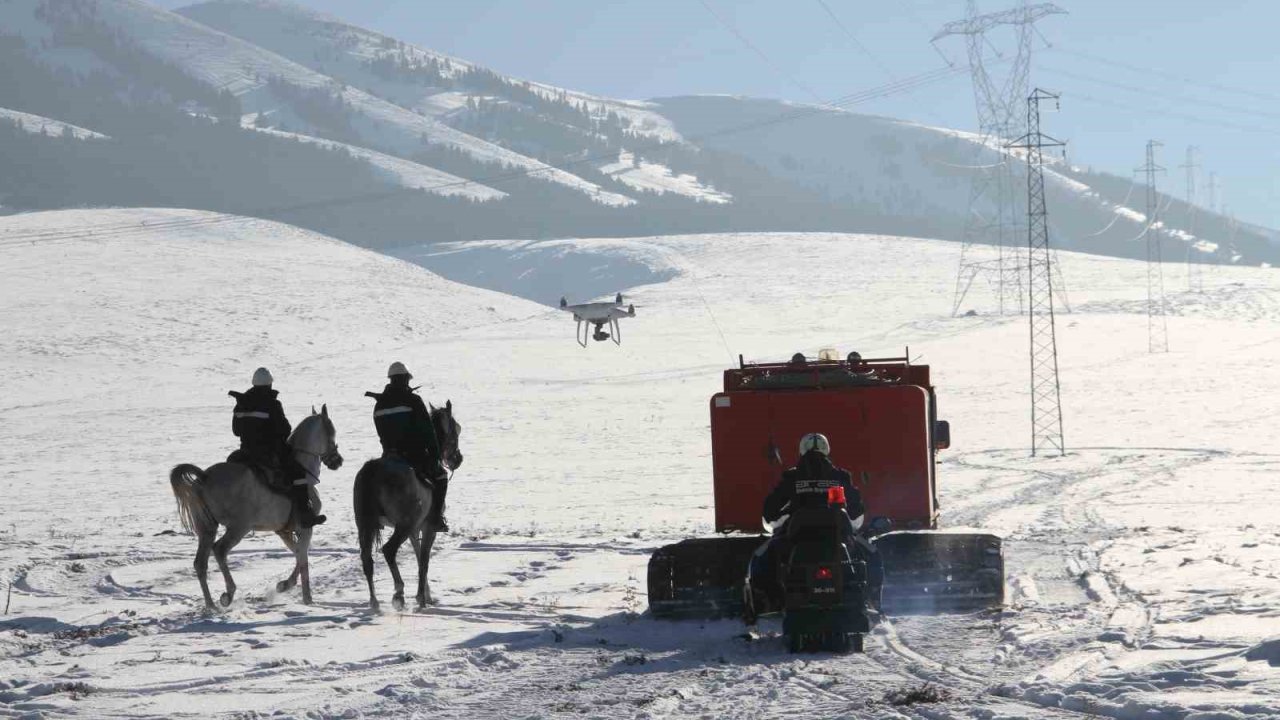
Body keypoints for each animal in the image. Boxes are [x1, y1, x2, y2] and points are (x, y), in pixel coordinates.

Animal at [167, 404, 343, 604]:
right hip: (238, 527)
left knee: (200, 563)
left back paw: (211, 606)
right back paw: (228, 593)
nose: (338, 460)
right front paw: (307, 597)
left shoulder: (282, 530)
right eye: (332, 432)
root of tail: (205, 477)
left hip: (206, 528)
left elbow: (298, 553)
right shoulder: (305, 527)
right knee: (219, 550)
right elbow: (303, 556)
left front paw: (285, 584)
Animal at [353, 399, 463, 607]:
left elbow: (419, 557)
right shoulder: (427, 527)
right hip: (404, 525)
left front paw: (427, 594)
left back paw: (374, 601)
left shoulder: (415, 530)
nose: (458, 459)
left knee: (366, 558)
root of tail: (374, 469)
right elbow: (424, 561)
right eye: (456, 429)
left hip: (365, 524)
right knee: (389, 550)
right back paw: (398, 592)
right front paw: (421, 597)